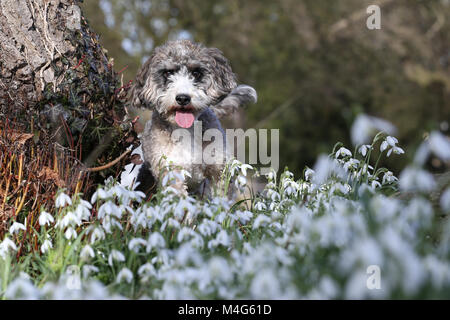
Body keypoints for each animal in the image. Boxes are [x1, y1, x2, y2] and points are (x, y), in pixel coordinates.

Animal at [128, 39, 258, 196]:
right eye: (168, 73)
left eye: (196, 73)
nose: (183, 98)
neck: (186, 130)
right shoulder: (172, 171)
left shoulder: (218, 169)